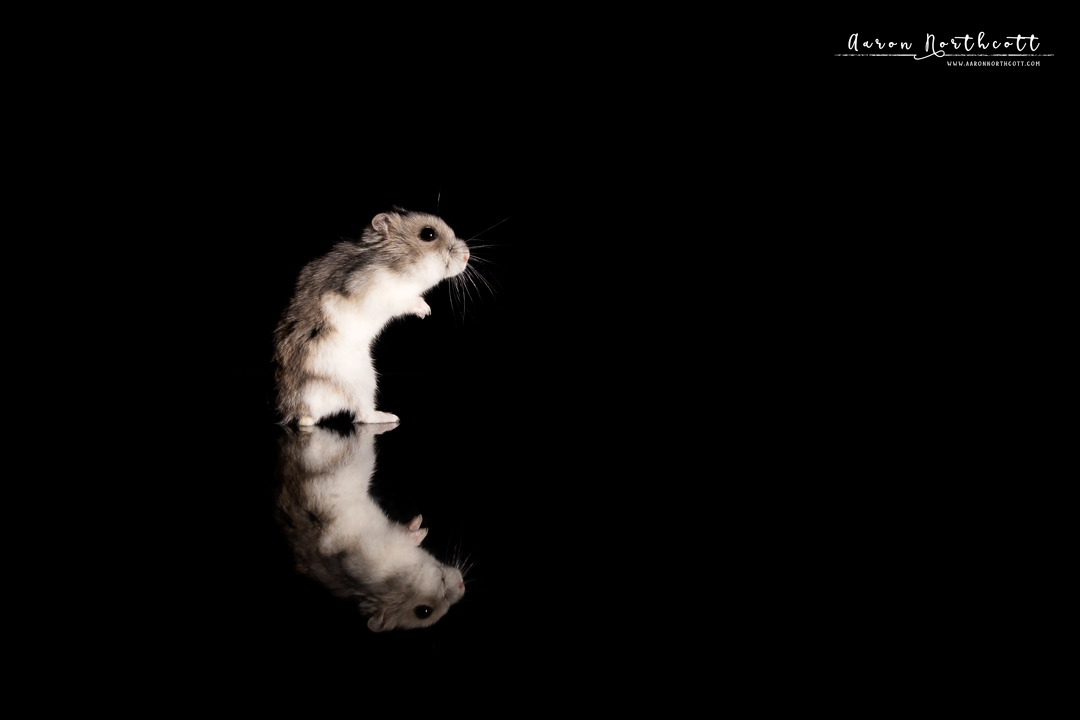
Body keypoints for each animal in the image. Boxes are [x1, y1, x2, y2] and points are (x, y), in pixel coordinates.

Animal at [273, 207, 470, 426]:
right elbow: (405, 300)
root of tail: (303, 414)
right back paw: (391, 417)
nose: (467, 256)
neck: (397, 267)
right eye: (428, 234)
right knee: (362, 416)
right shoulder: (377, 291)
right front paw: (425, 311)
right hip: (362, 381)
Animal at [275, 424, 466, 631]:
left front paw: (419, 522)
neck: (399, 575)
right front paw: (421, 530)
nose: (463, 586)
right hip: (355, 462)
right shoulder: (370, 552)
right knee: (360, 437)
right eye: (424, 611)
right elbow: (400, 537)